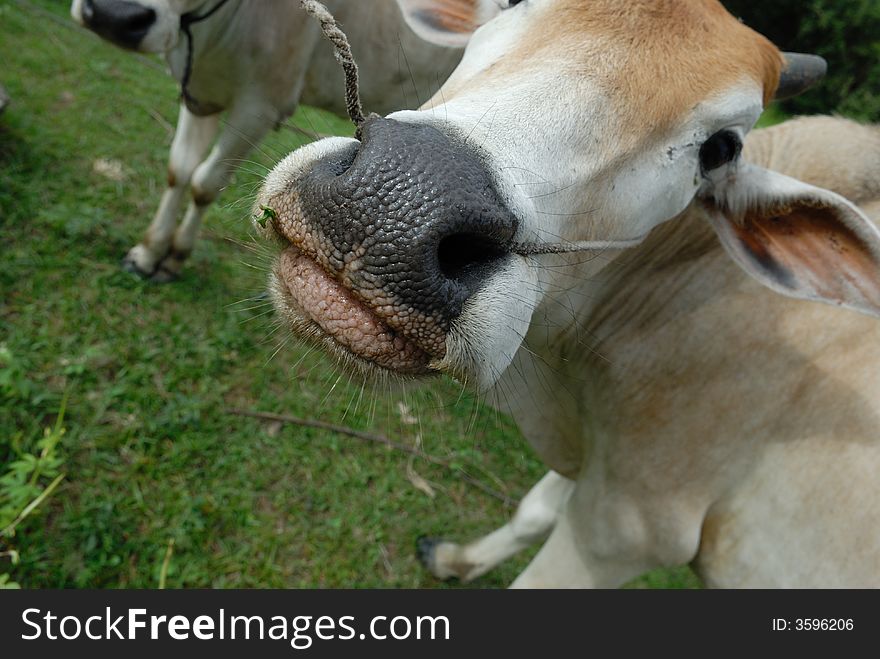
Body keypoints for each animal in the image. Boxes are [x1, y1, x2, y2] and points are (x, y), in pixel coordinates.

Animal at [69, 0, 468, 282]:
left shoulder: (261, 105)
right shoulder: (199, 92)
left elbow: (205, 183)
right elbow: (179, 170)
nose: (113, 14)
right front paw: (148, 253)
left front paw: (175, 257)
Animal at [254, 0, 880, 588]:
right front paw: (457, 559)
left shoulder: (628, 524)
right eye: (512, 4)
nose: (395, 205)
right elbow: (534, 509)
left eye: (722, 149)